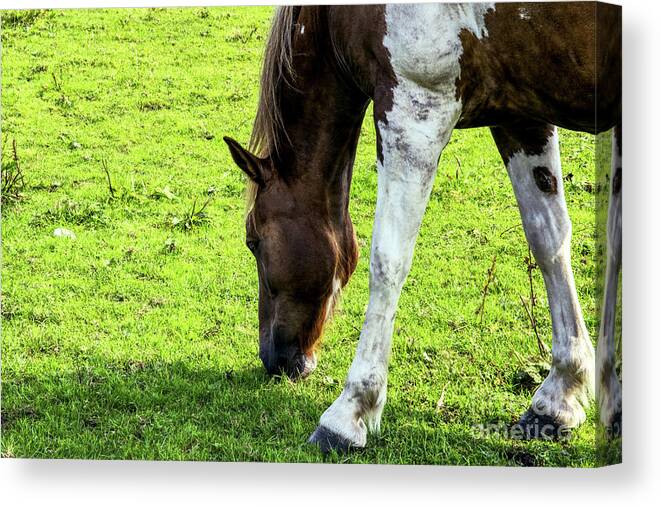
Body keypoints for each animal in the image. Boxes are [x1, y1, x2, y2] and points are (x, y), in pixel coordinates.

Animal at [224, 1, 620, 454]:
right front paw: (559, 396)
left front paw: (349, 412)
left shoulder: (413, 109)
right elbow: (548, 240)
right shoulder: (522, 114)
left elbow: (388, 260)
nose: (273, 358)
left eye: (253, 241)